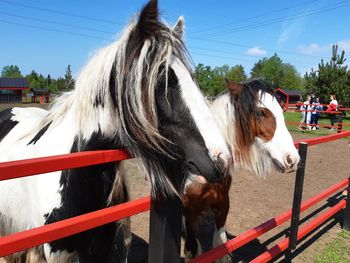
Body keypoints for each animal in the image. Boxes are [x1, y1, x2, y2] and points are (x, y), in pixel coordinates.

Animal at [182, 78, 300, 262]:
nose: (292, 159)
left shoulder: (223, 204)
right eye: (261, 112)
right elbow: (192, 250)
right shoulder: (189, 211)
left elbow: (220, 246)